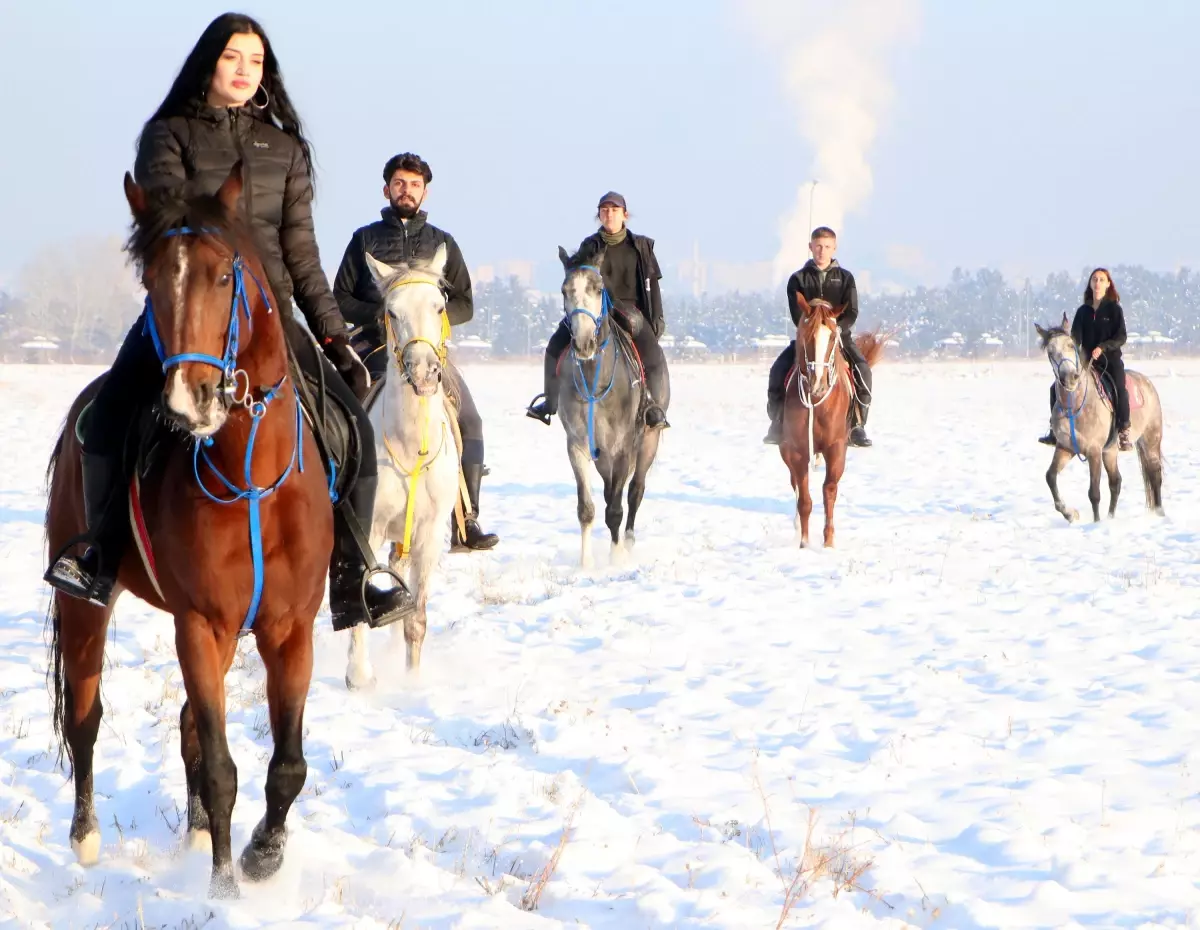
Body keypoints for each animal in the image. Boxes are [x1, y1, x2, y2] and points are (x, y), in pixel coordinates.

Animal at [43, 163, 333, 897]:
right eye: (150, 280)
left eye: (225, 274)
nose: (188, 400)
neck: (251, 478)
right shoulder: (200, 624)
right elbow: (224, 767)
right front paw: (224, 886)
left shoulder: (290, 628)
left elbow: (286, 763)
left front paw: (263, 855)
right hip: (84, 606)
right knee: (85, 717)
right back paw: (86, 838)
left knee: (186, 730)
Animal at [348, 249, 463, 691]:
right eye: (392, 312)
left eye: (439, 306)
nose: (424, 371)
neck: (411, 447)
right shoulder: (367, 530)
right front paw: (358, 676)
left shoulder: (428, 536)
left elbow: (417, 616)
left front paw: (412, 680)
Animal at [554, 246, 662, 566]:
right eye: (564, 290)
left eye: (598, 288)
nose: (584, 343)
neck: (594, 383)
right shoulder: (577, 446)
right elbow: (586, 509)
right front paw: (586, 564)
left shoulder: (623, 447)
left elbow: (616, 508)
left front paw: (616, 560)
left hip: (648, 441)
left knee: (635, 492)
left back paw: (627, 543)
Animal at [777, 295, 883, 549]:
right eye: (806, 334)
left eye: (834, 336)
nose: (819, 382)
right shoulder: (797, 450)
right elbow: (804, 498)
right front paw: (804, 542)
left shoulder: (836, 448)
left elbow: (829, 491)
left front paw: (828, 542)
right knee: (795, 484)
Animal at [1036, 316, 1166, 523]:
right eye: (1050, 351)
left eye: (1071, 345)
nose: (1069, 378)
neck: (1075, 405)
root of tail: (1146, 382)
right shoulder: (1065, 448)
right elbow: (1050, 477)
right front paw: (1070, 514)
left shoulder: (1094, 451)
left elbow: (1094, 493)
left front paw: (1095, 524)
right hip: (1110, 451)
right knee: (1116, 482)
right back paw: (1111, 517)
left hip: (1150, 441)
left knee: (1155, 475)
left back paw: (1159, 513)